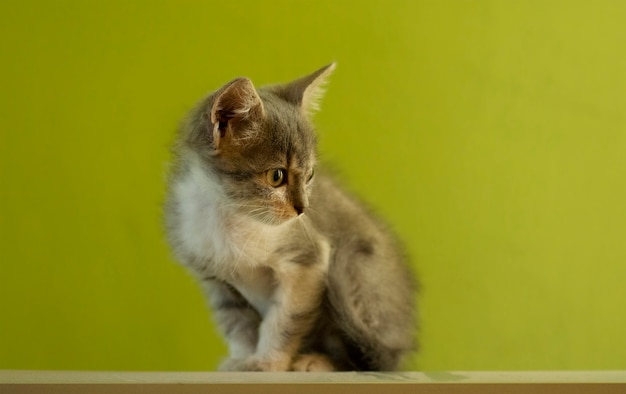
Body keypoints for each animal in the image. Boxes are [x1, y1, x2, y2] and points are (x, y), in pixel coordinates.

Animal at [165, 64, 414, 372]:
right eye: (277, 176)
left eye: (309, 175)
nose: (303, 208)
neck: (231, 215)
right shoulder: (215, 279)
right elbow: (238, 323)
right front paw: (243, 359)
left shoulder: (307, 260)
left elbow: (284, 319)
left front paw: (266, 362)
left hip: (359, 276)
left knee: (369, 359)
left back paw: (319, 361)